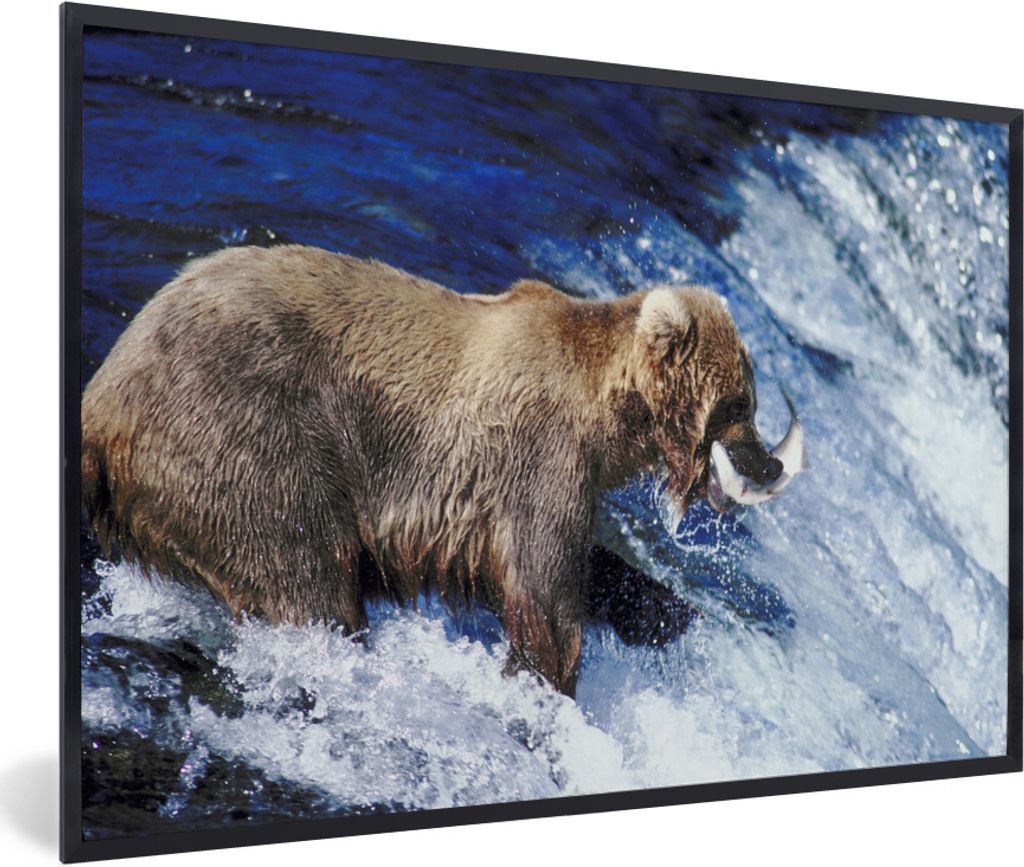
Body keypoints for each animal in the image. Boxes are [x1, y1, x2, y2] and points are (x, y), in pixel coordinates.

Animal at [81, 244, 784, 696]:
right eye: (740, 404)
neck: (607, 413)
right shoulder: (536, 457)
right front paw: (547, 683)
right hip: (244, 436)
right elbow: (544, 597)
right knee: (304, 574)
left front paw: (667, 612)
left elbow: (587, 567)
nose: (770, 459)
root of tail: (101, 399)